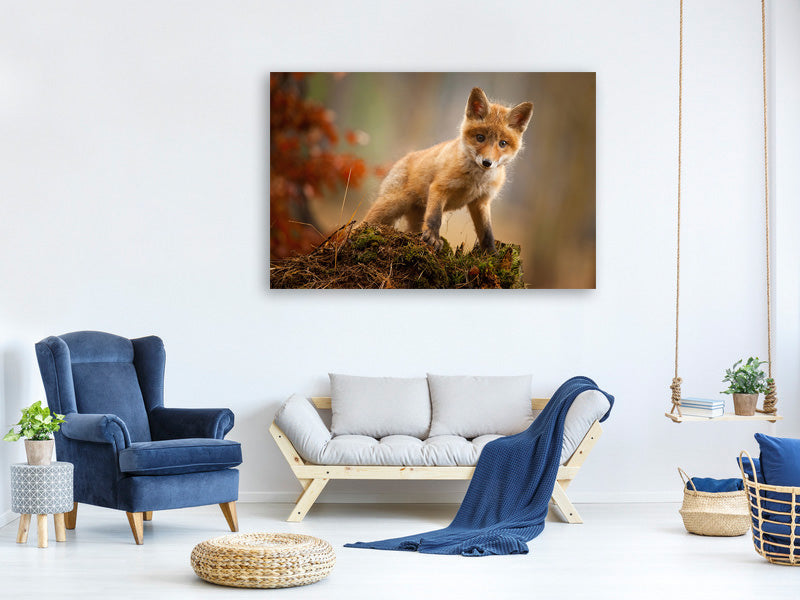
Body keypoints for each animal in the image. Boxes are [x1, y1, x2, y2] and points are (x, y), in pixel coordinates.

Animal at [363, 87, 533, 253]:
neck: (475, 180)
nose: (487, 162)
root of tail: (403, 158)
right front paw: (433, 238)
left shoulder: (481, 201)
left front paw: (491, 254)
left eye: (502, 143)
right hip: (390, 206)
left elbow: (487, 232)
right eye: (480, 138)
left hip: (414, 218)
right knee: (364, 223)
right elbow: (434, 218)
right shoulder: (440, 188)